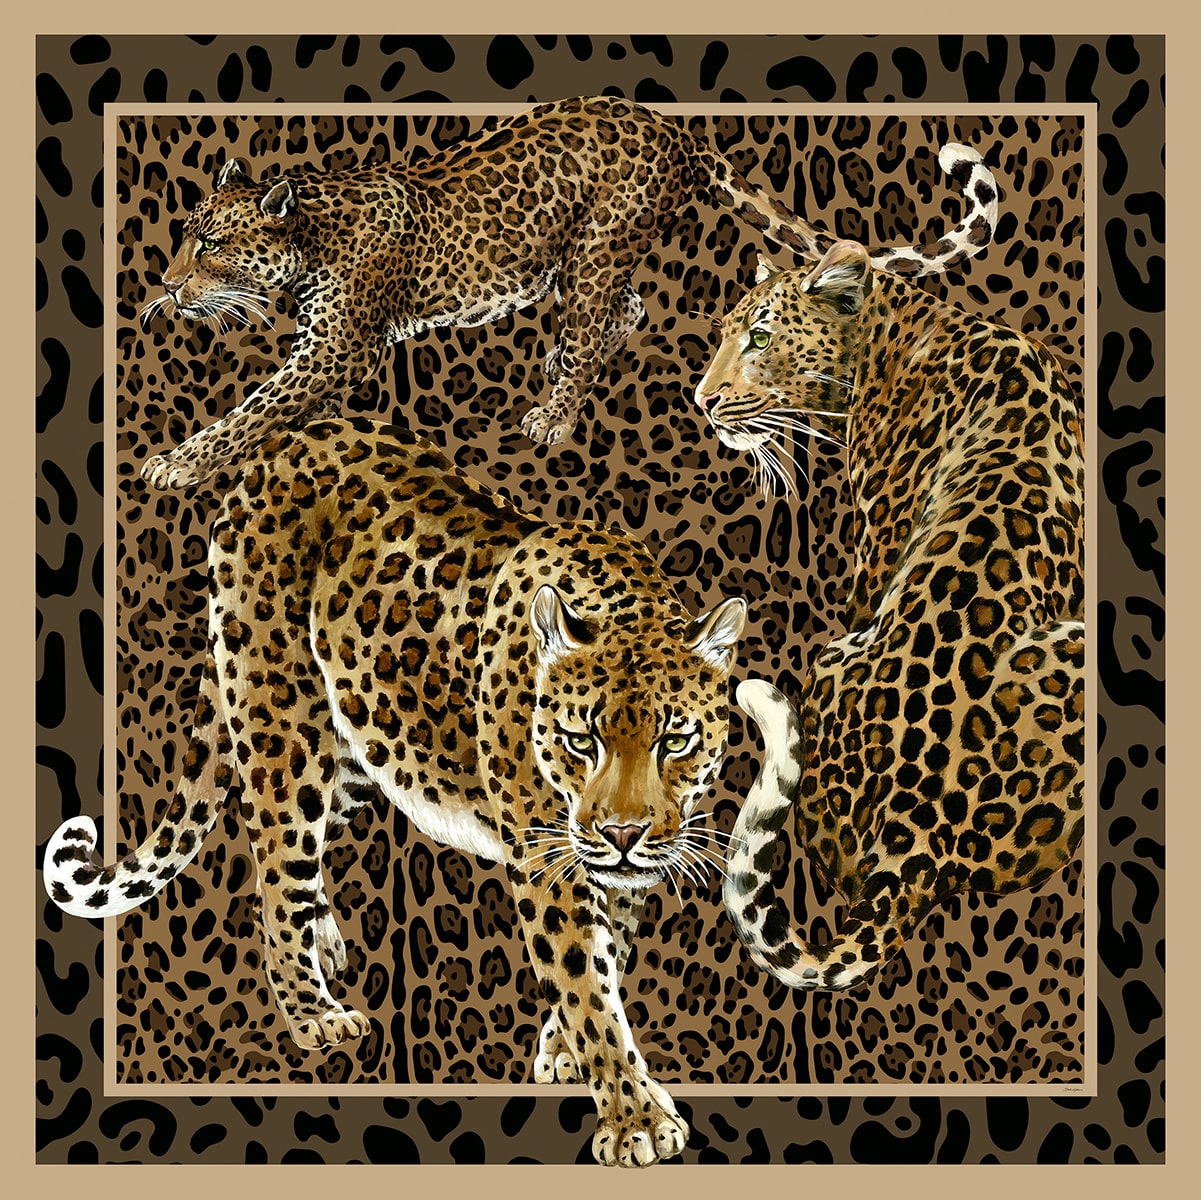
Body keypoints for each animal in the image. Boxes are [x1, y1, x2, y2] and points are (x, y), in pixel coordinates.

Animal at [44, 415, 755, 1168]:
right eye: (578, 740)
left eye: (674, 740)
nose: (622, 833)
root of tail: (286, 443)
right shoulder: (546, 858)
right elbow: (585, 982)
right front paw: (635, 1119)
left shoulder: (609, 864)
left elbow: (607, 954)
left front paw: (565, 1053)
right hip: (282, 725)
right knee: (274, 864)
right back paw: (313, 1012)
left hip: (360, 744)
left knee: (303, 853)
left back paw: (324, 938)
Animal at [138, 95, 998, 489]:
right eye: (185, 233)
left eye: (210, 245)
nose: (166, 287)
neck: (312, 231)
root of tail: (673, 129)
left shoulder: (336, 349)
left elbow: (254, 410)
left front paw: (176, 463)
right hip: (575, 260)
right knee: (624, 310)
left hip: (594, 246)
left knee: (601, 322)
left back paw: (554, 412)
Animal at [694, 240, 1085, 991]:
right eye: (726, 333)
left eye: (760, 337)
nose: (703, 401)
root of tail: (920, 836)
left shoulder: (875, 551)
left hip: (835, 654)